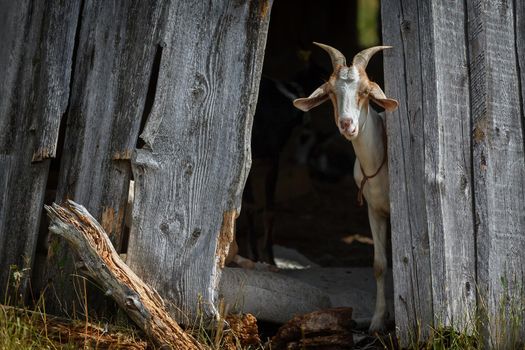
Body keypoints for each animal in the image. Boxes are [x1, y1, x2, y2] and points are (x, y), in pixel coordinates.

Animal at [292, 42, 400, 332]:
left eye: (365, 92)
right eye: (331, 92)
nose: (347, 125)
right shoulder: (374, 210)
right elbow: (379, 264)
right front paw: (377, 321)